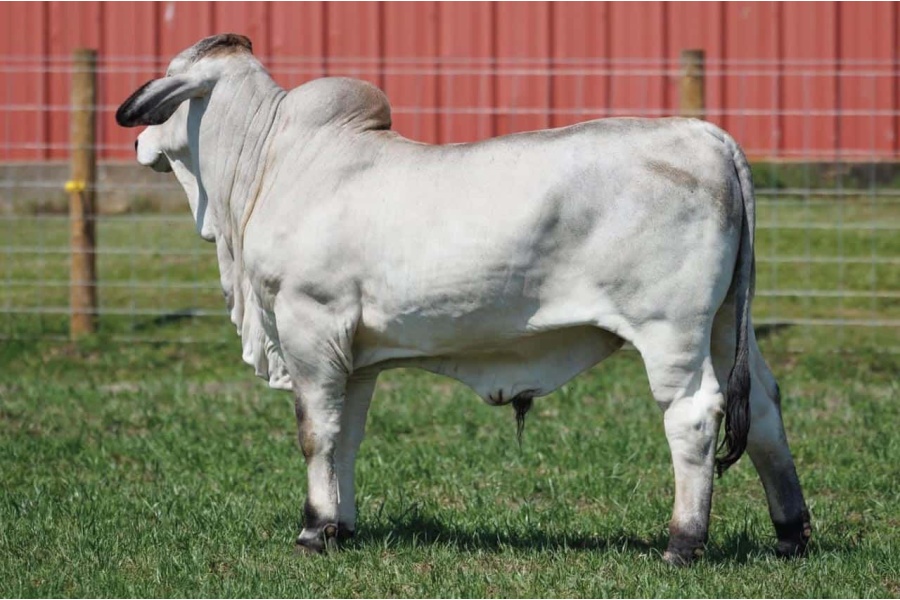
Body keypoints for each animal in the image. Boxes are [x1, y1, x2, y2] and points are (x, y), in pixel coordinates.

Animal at [116, 34, 810, 565]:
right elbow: (347, 437)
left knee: (692, 416)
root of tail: (707, 137)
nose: (136, 145)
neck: (267, 162)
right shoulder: (353, 355)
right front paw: (342, 526)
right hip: (728, 322)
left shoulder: (308, 325)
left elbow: (317, 433)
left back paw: (683, 544)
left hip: (672, 329)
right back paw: (791, 534)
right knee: (765, 408)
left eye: (171, 80)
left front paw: (313, 531)